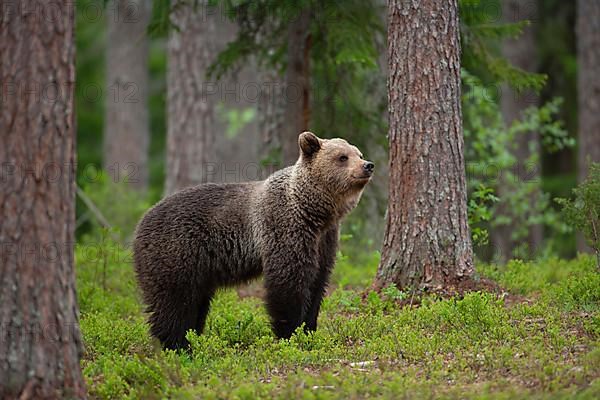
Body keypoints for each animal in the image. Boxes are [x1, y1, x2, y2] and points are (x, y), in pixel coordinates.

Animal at [134, 132, 372, 350]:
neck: (314, 212)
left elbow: (317, 283)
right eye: (342, 157)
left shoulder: (324, 240)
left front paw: (309, 329)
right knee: (173, 302)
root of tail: (141, 222)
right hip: (176, 251)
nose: (368, 165)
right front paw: (290, 333)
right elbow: (287, 282)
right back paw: (178, 345)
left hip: (199, 268)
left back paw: (192, 337)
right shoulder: (284, 229)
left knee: (196, 302)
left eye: (358, 153)